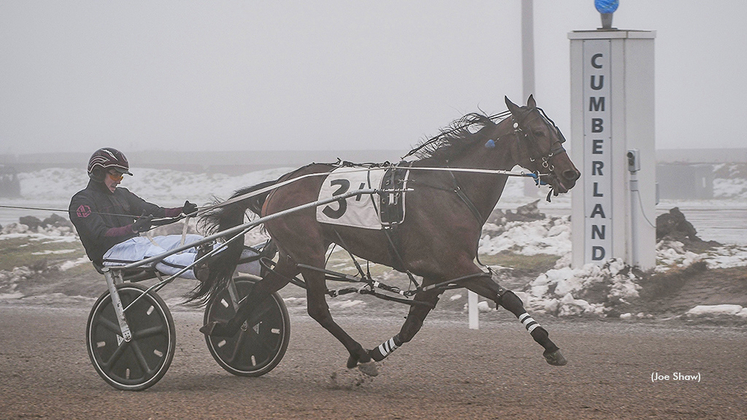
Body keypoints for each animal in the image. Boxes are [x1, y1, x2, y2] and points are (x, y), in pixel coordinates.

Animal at [193, 97, 580, 376]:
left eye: (556, 130)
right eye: (537, 132)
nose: (571, 174)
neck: (452, 187)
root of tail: (278, 186)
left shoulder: (435, 274)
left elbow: (412, 326)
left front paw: (375, 352)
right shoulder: (457, 266)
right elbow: (511, 299)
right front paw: (550, 346)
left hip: (293, 256)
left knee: (259, 292)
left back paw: (226, 330)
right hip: (309, 253)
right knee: (317, 309)